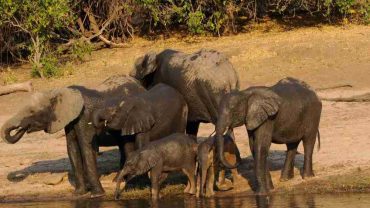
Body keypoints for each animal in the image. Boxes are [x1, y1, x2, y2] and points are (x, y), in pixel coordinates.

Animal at [0, 74, 147, 197]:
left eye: (31, 111)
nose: (22, 129)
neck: (60, 92)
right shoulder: (70, 120)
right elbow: (72, 148)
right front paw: (78, 194)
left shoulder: (84, 116)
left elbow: (86, 146)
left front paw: (97, 195)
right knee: (124, 144)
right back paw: (118, 179)